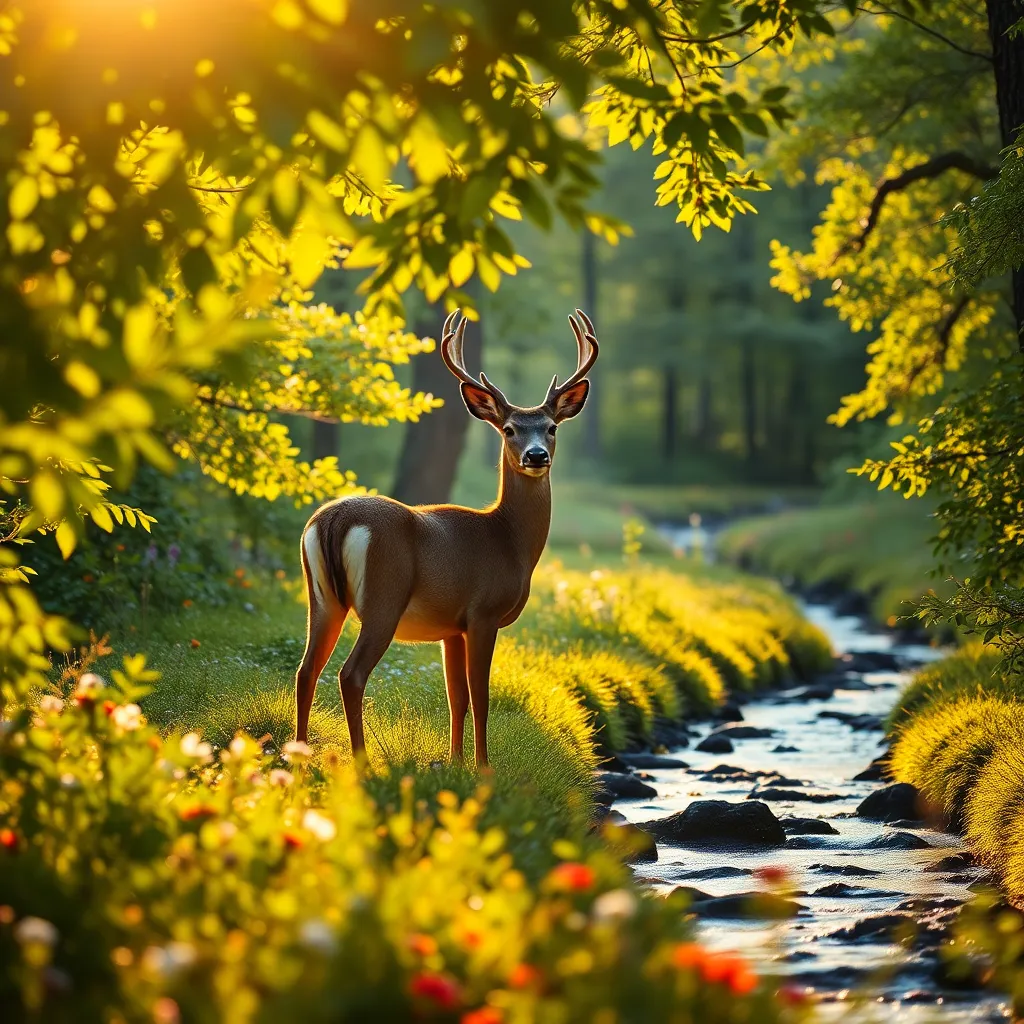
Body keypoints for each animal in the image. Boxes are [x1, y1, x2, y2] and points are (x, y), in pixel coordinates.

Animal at [294, 308, 599, 768]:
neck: (509, 541)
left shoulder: (451, 627)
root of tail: (333, 520)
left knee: (306, 669)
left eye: (551, 428)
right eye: (509, 429)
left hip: (323, 598)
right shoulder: (483, 613)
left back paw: (295, 755)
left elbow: (457, 697)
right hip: (383, 597)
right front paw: (484, 767)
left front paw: (455, 762)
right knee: (351, 673)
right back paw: (362, 762)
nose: (536, 456)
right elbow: (482, 697)